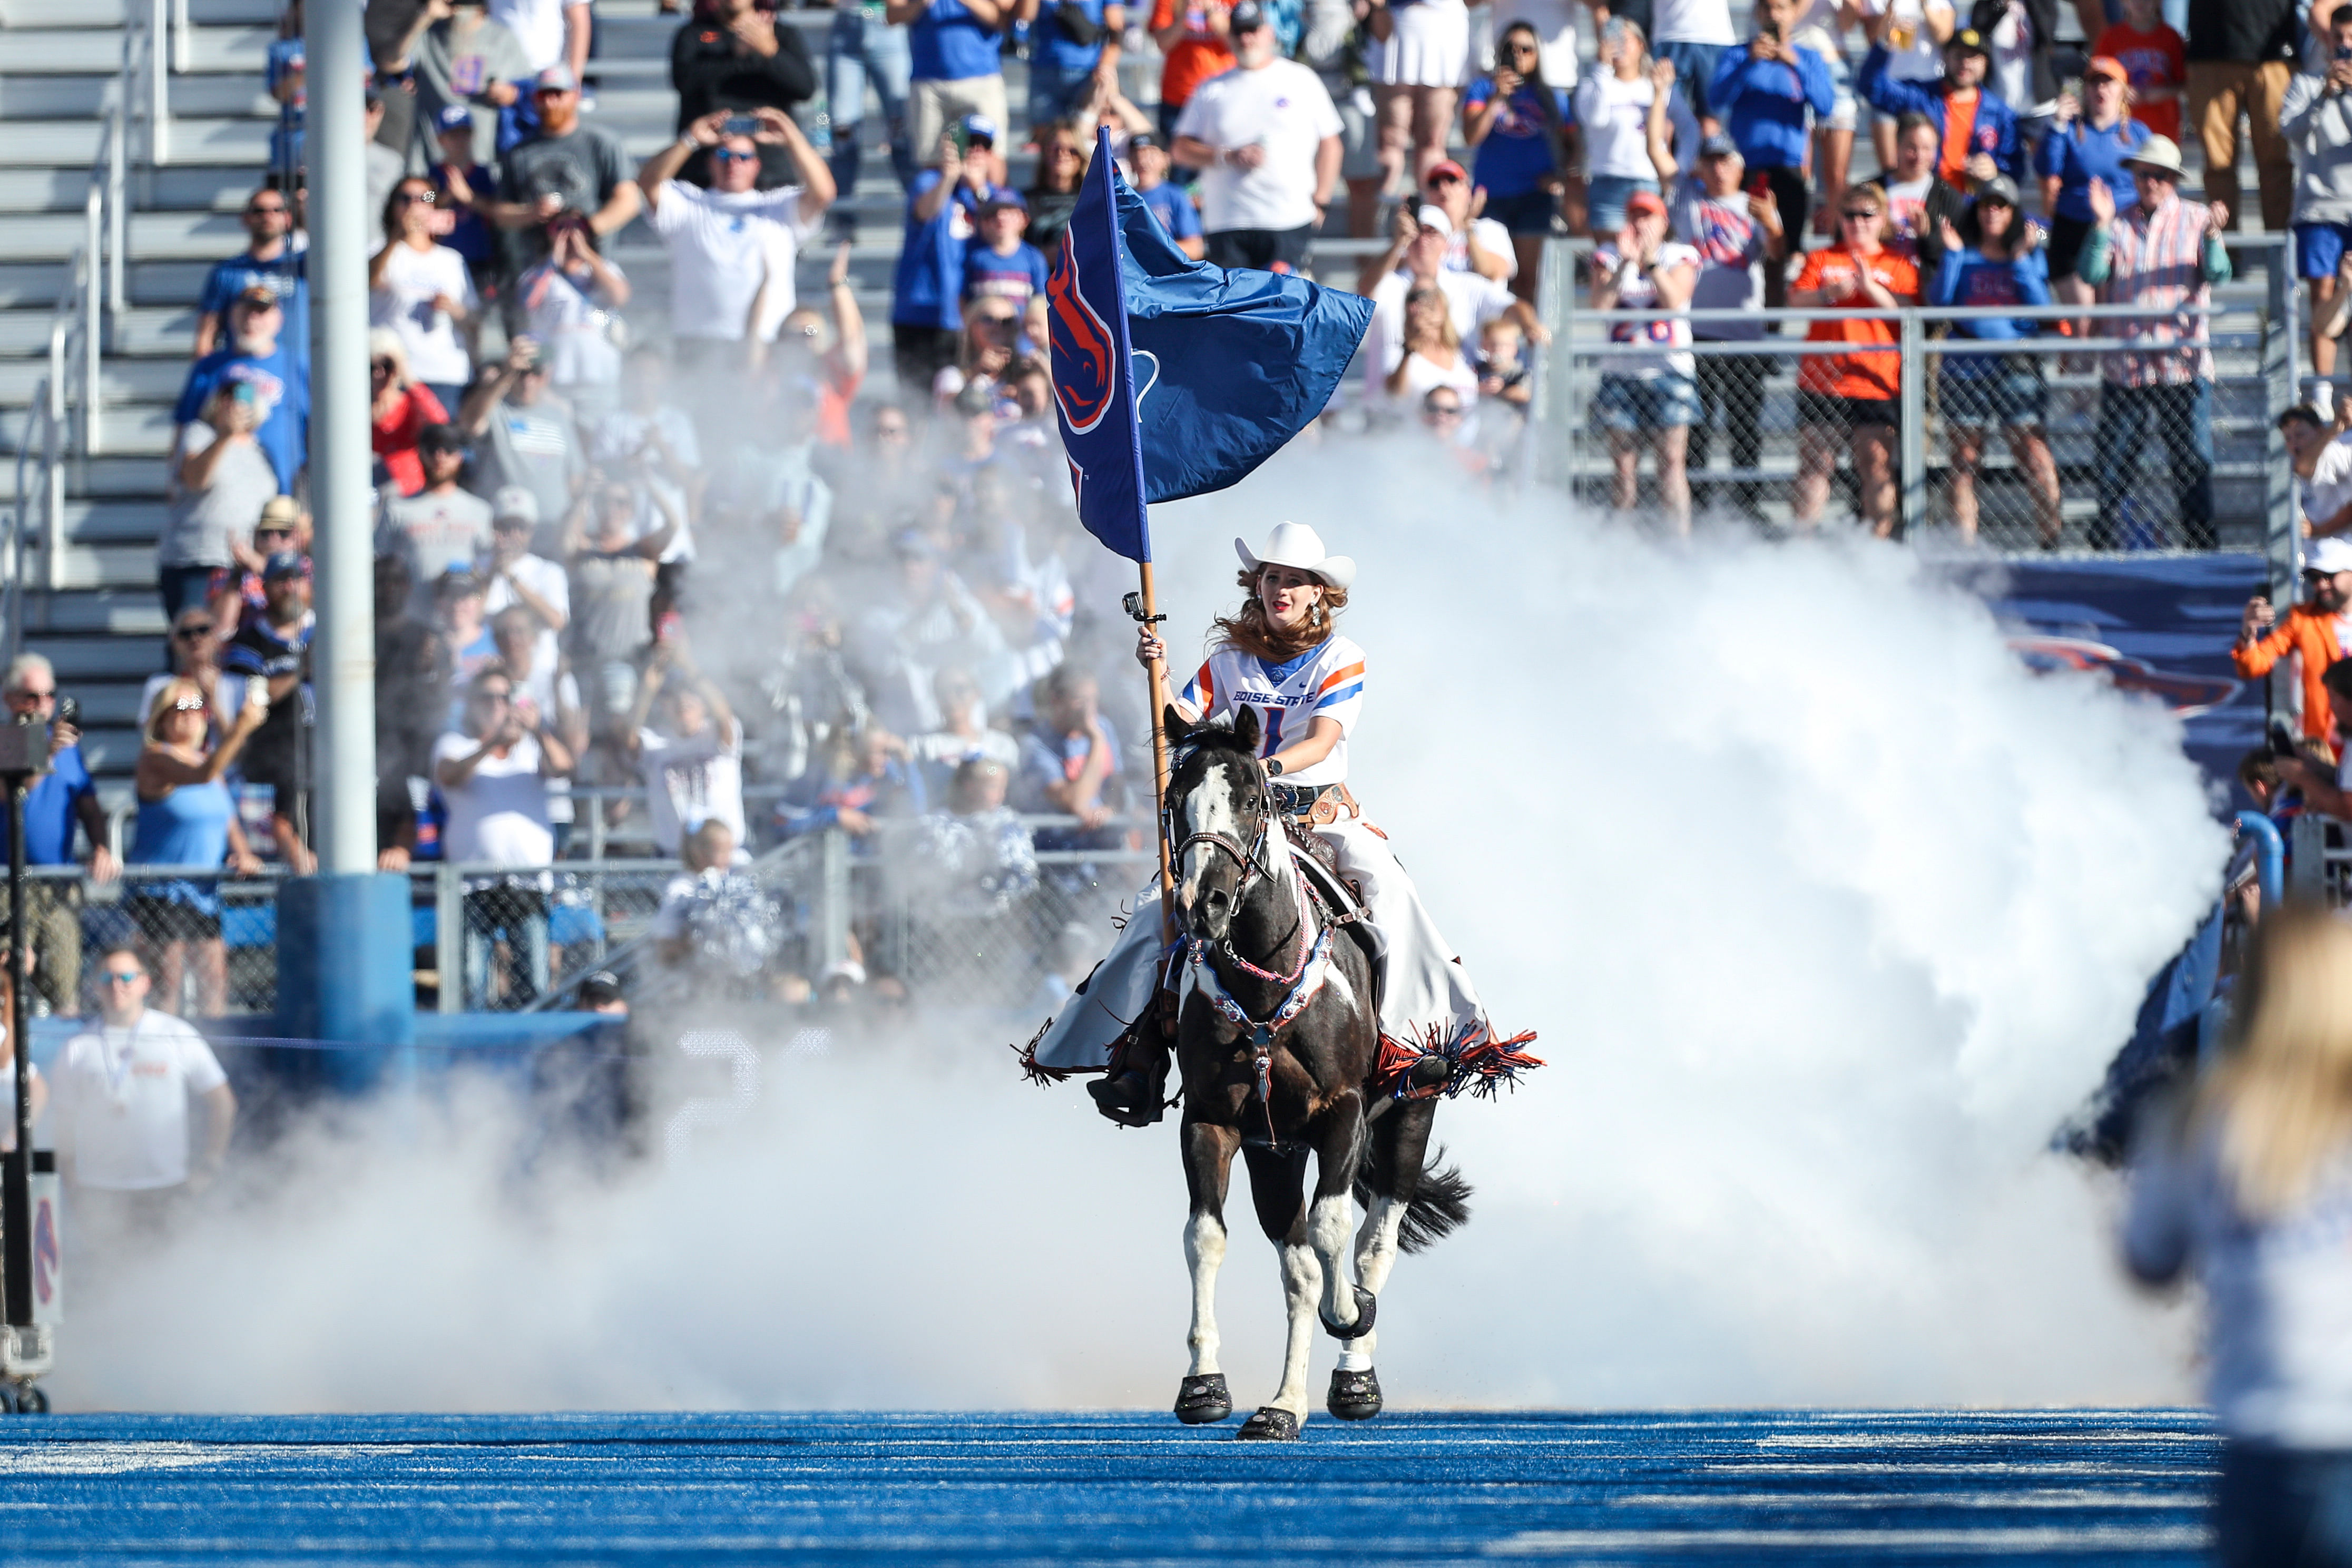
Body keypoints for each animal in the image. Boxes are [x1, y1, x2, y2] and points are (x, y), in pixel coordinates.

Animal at [1162, 710, 1467, 1448]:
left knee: (1373, 1242)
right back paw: (1282, 1406)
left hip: (1411, 1114)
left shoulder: (1344, 1111)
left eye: (1252, 798)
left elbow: (1335, 1231)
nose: (1205, 905)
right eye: (1176, 800)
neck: (1265, 986)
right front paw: (1203, 1386)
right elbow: (1205, 1238)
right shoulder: (1212, 1121)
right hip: (1276, 1152)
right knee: (1297, 1270)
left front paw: (1351, 1313)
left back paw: (1354, 1376)